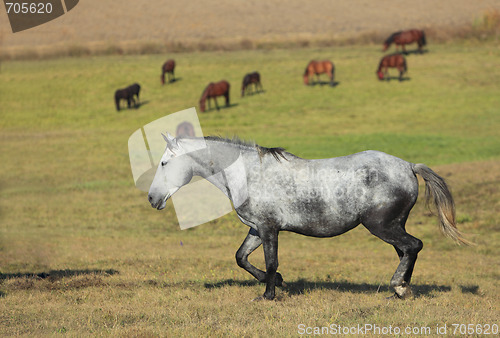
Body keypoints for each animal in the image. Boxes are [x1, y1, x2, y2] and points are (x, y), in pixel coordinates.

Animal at [147, 136, 468, 300]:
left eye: (163, 163)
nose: (152, 198)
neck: (250, 173)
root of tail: (409, 166)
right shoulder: (256, 228)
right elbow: (241, 258)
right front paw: (279, 283)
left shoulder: (269, 228)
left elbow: (271, 260)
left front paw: (268, 294)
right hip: (392, 226)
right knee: (406, 251)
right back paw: (403, 290)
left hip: (382, 225)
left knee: (413, 246)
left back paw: (399, 286)